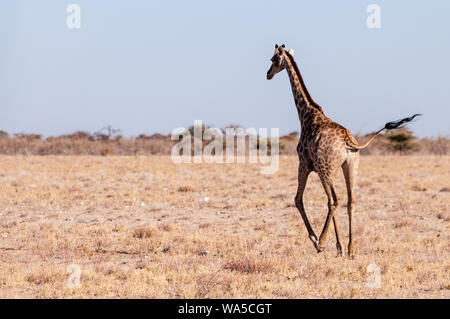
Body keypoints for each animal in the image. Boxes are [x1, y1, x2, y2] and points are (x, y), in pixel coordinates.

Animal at [266, 43, 420, 258]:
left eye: (273, 59)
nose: (268, 74)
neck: (306, 115)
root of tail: (349, 141)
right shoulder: (325, 168)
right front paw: (339, 247)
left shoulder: (304, 163)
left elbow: (298, 200)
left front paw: (317, 239)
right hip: (350, 166)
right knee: (349, 201)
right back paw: (350, 248)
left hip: (325, 169)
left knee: (333, 200)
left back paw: (321, 242)